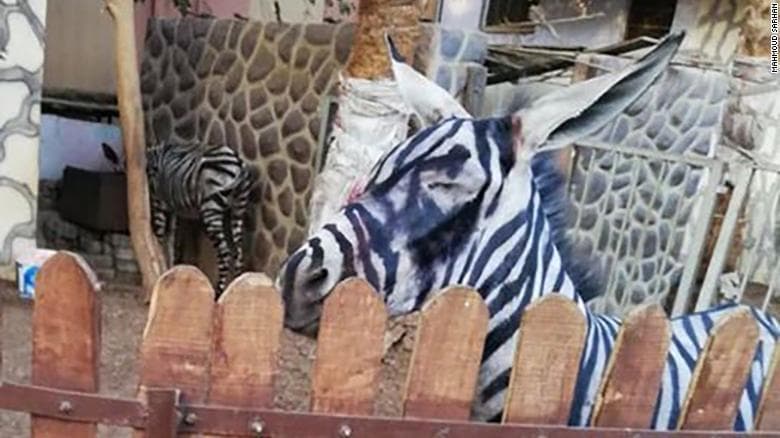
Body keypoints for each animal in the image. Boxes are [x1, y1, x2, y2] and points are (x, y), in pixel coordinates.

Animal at [146, 142, 255, 294]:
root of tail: (239, 163)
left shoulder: (159, 201)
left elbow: (160, 235)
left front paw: (161, 268)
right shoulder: (172, 208)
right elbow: (171, 239)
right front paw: (170, 268)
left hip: (211, 210)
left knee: (225, 253)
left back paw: (219, 291)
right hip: (238, 209)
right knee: (239, 253)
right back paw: (237, 286)